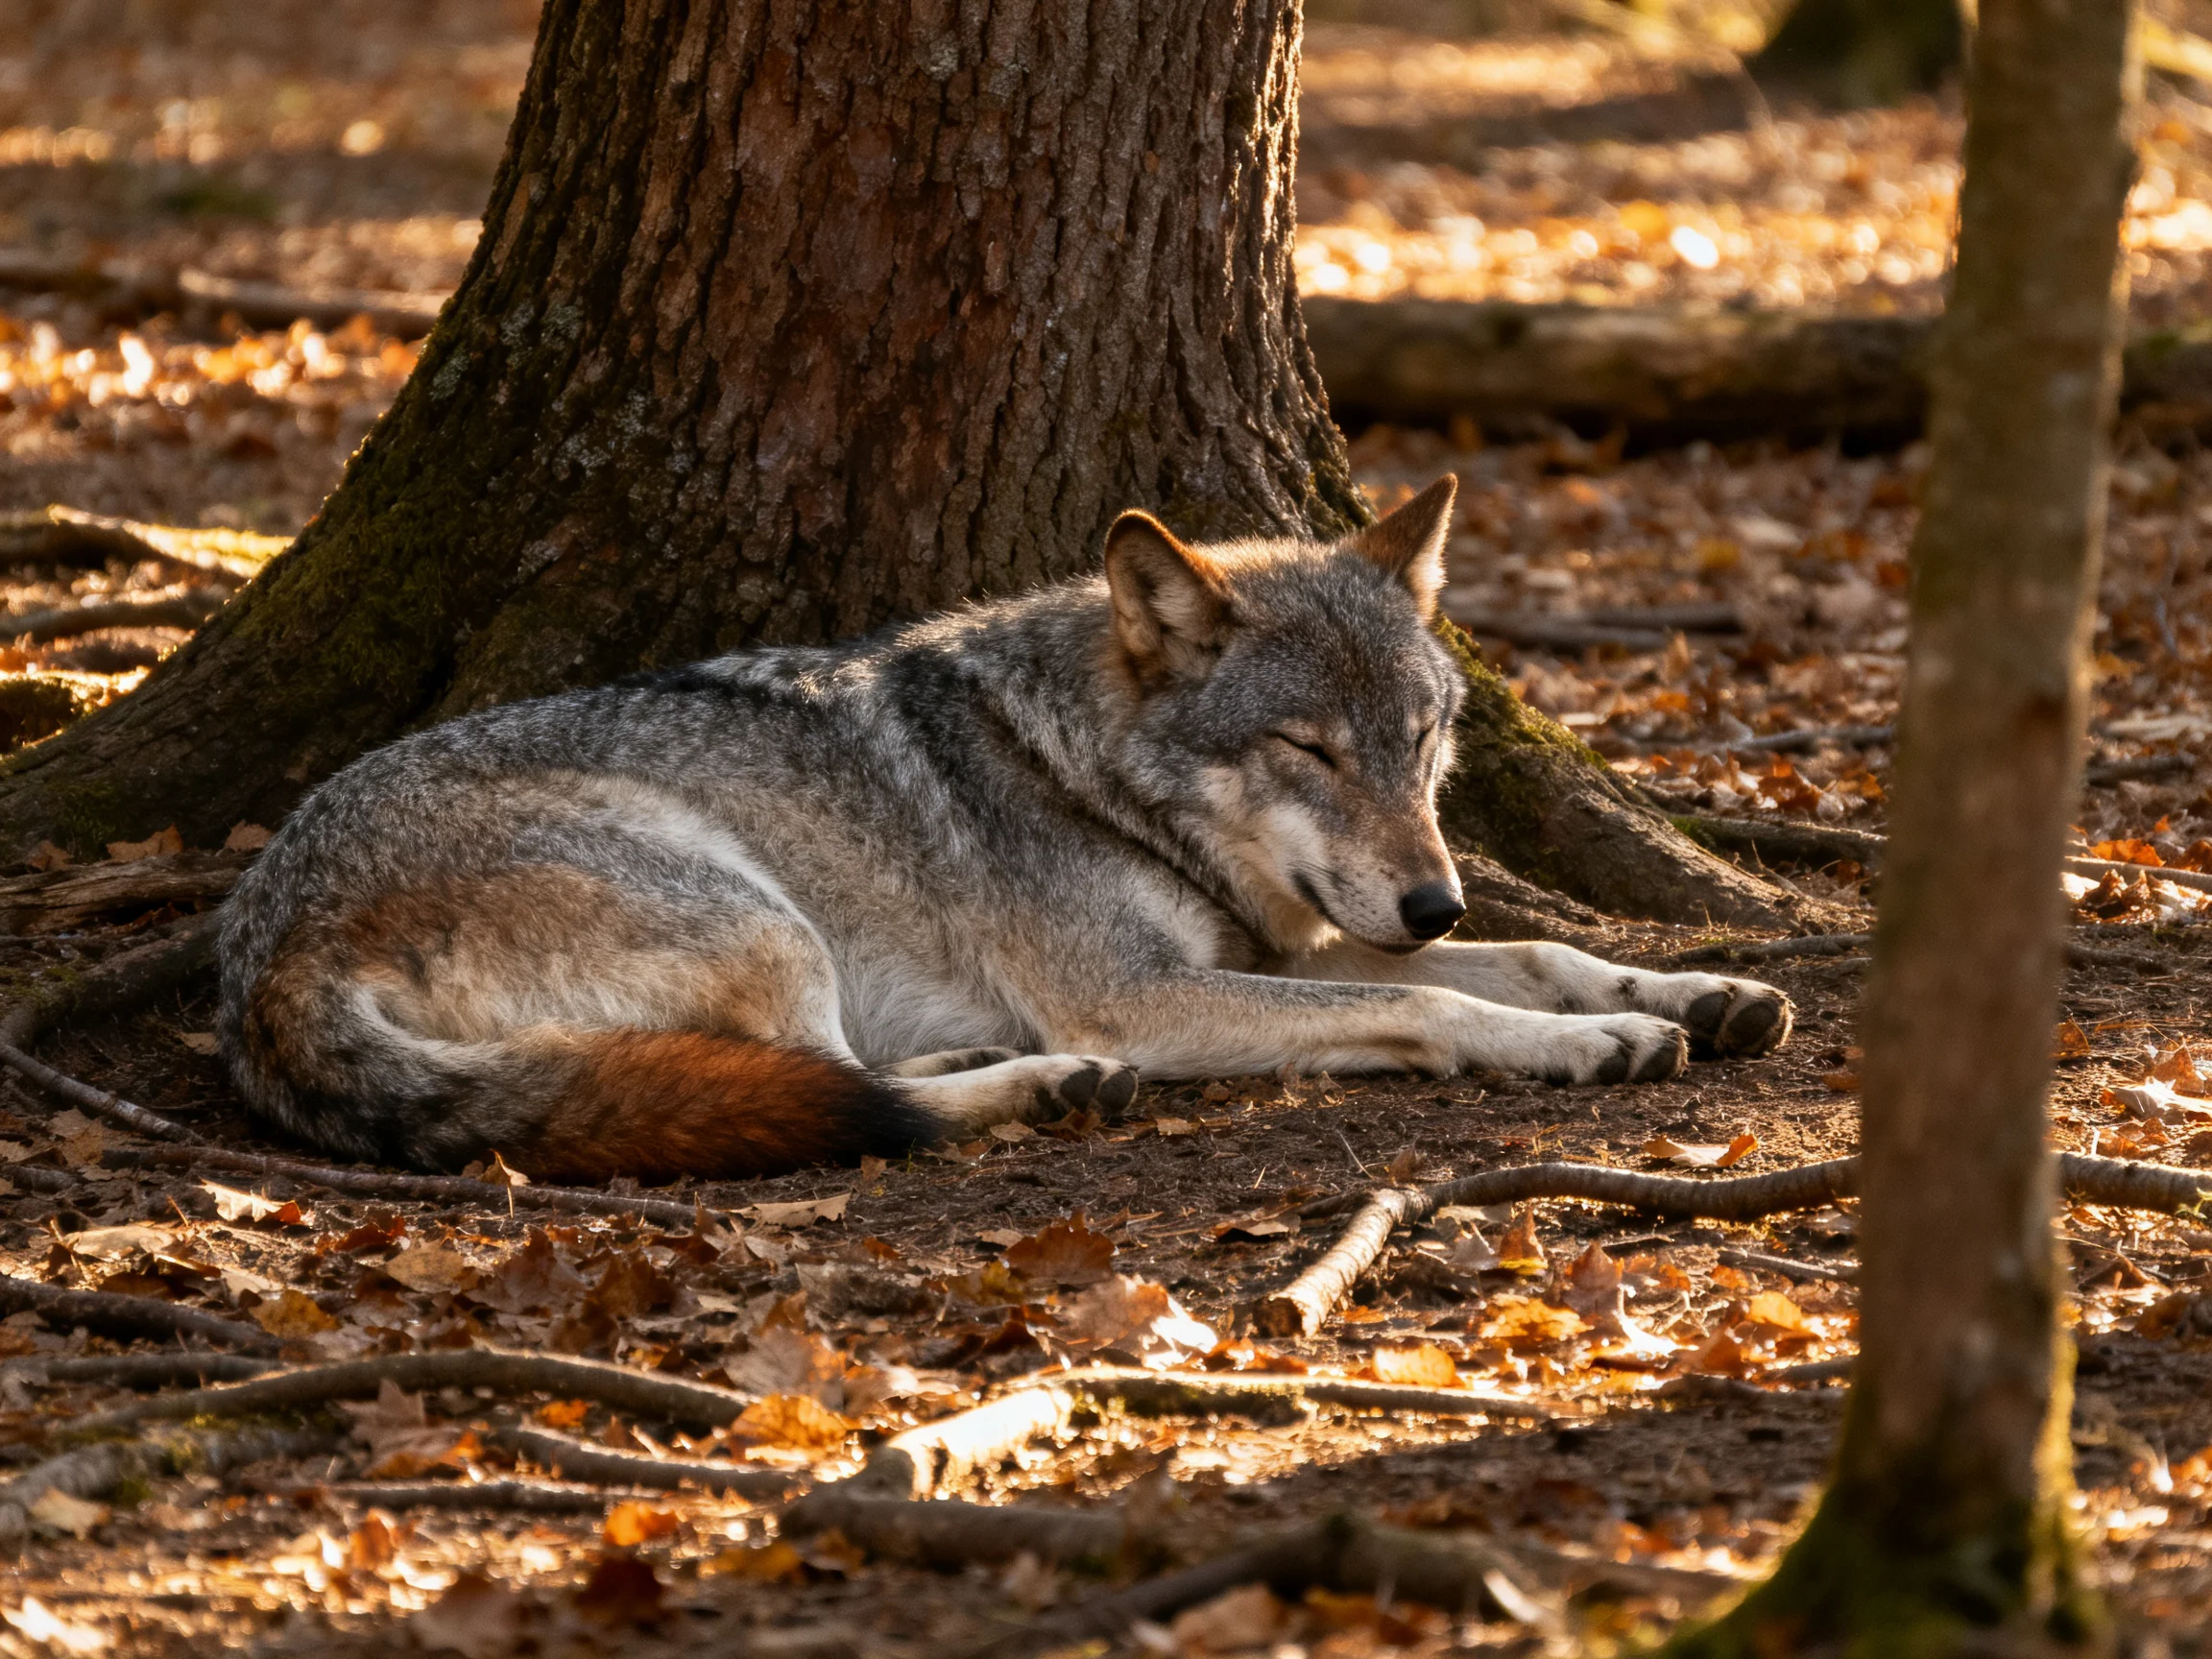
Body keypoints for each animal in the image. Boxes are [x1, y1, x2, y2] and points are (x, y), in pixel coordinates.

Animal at [218, 478, 1792, 1182]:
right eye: (1310, 751)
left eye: (1421, 740)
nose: (1434, 903)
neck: (1084, 770)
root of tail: (263, 951)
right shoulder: (1148, 991)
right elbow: (1441, 1010)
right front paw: (1589, 1043)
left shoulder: (1280, 947)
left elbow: (1534, 957)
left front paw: (1695, 992)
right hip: (758, 914)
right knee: (837, 1089)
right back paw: (1042, 1085)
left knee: (822, 1075)